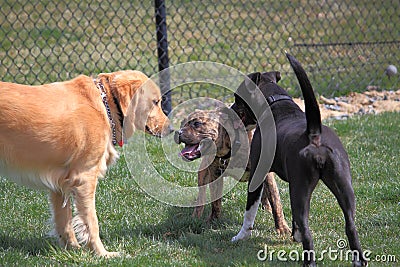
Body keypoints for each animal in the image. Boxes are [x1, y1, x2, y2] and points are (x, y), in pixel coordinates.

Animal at [230, 54, 368, 267]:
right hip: (342, 186)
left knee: (307, 230)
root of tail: (314, 135)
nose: (230, 108)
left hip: (301, 189)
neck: (275, 103)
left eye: (238, 98)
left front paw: (240, 236)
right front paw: (294, 234)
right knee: (350, 226)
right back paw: (358, 260)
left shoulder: (257, 174)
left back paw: (308, 261)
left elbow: (249, 211)